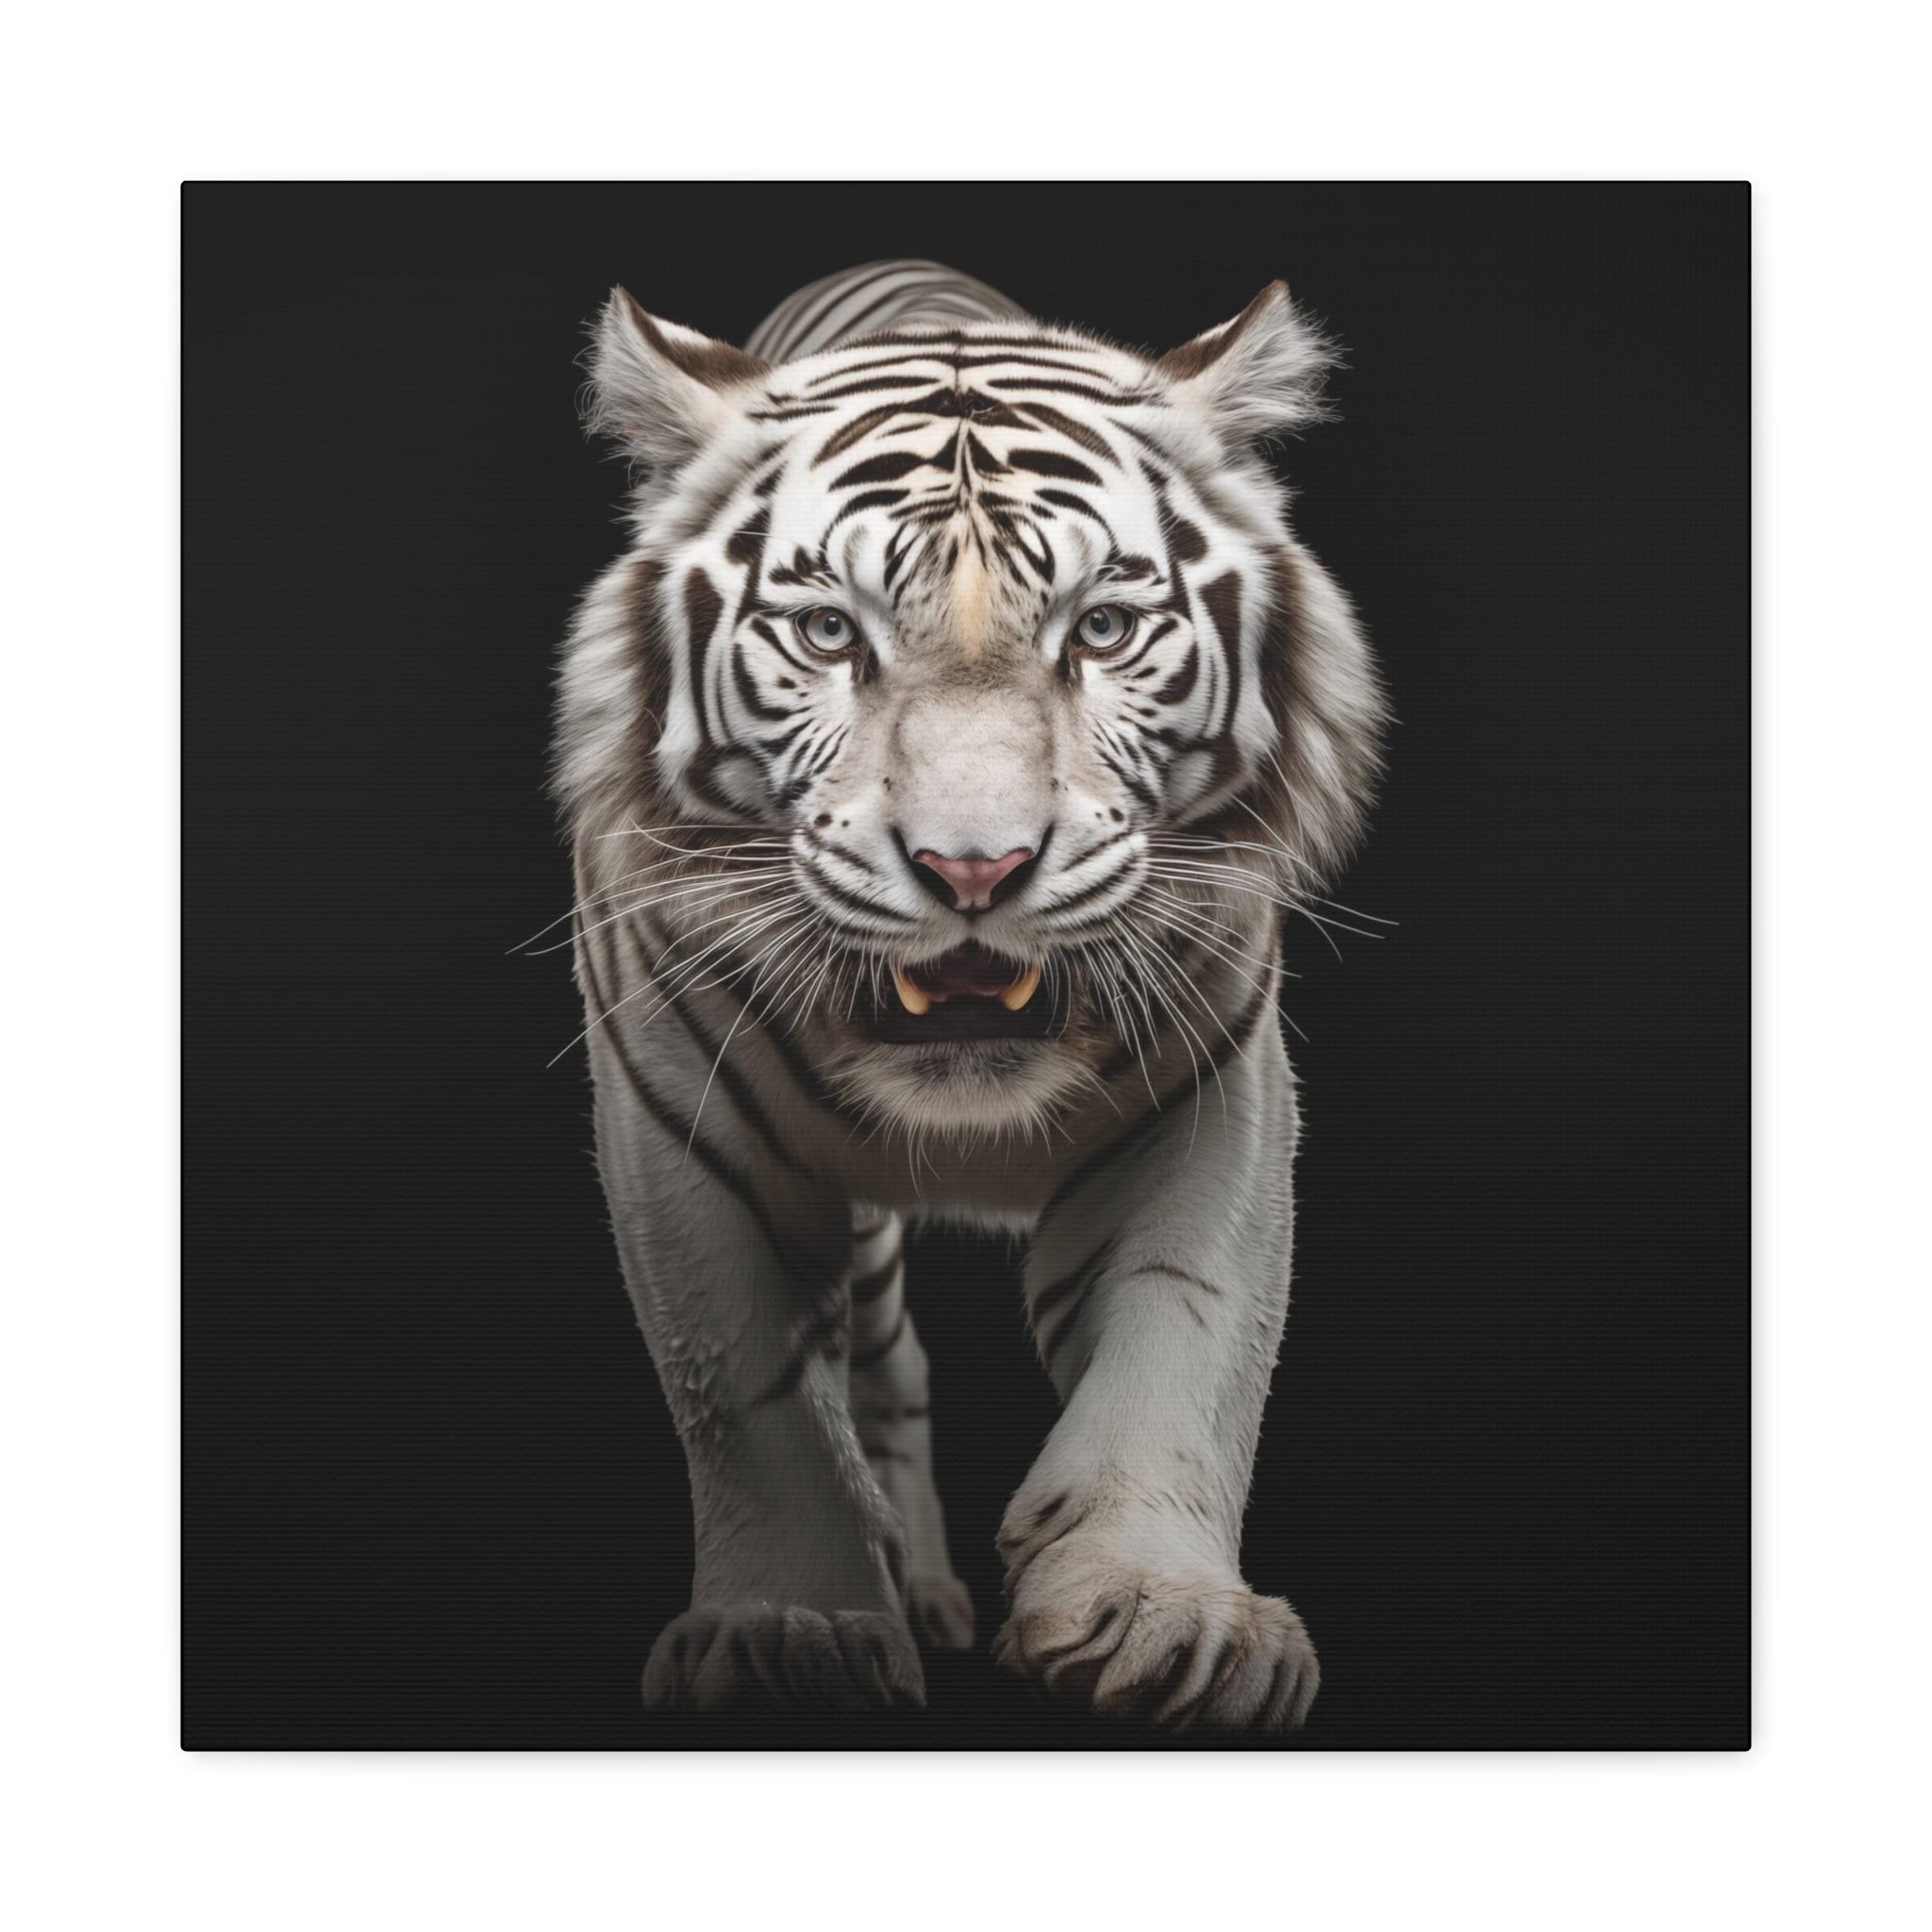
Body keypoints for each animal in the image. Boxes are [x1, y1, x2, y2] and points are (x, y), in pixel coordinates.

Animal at [553, 258, 1386, 1731]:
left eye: (1102, 629)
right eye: (828, 632)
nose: (973, 867)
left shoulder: (1213, 1093)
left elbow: (1186, 1333)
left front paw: (1164, 1616)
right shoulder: (676, 1125)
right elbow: (749, 1393)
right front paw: (790, 1630)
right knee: (885, 1372)